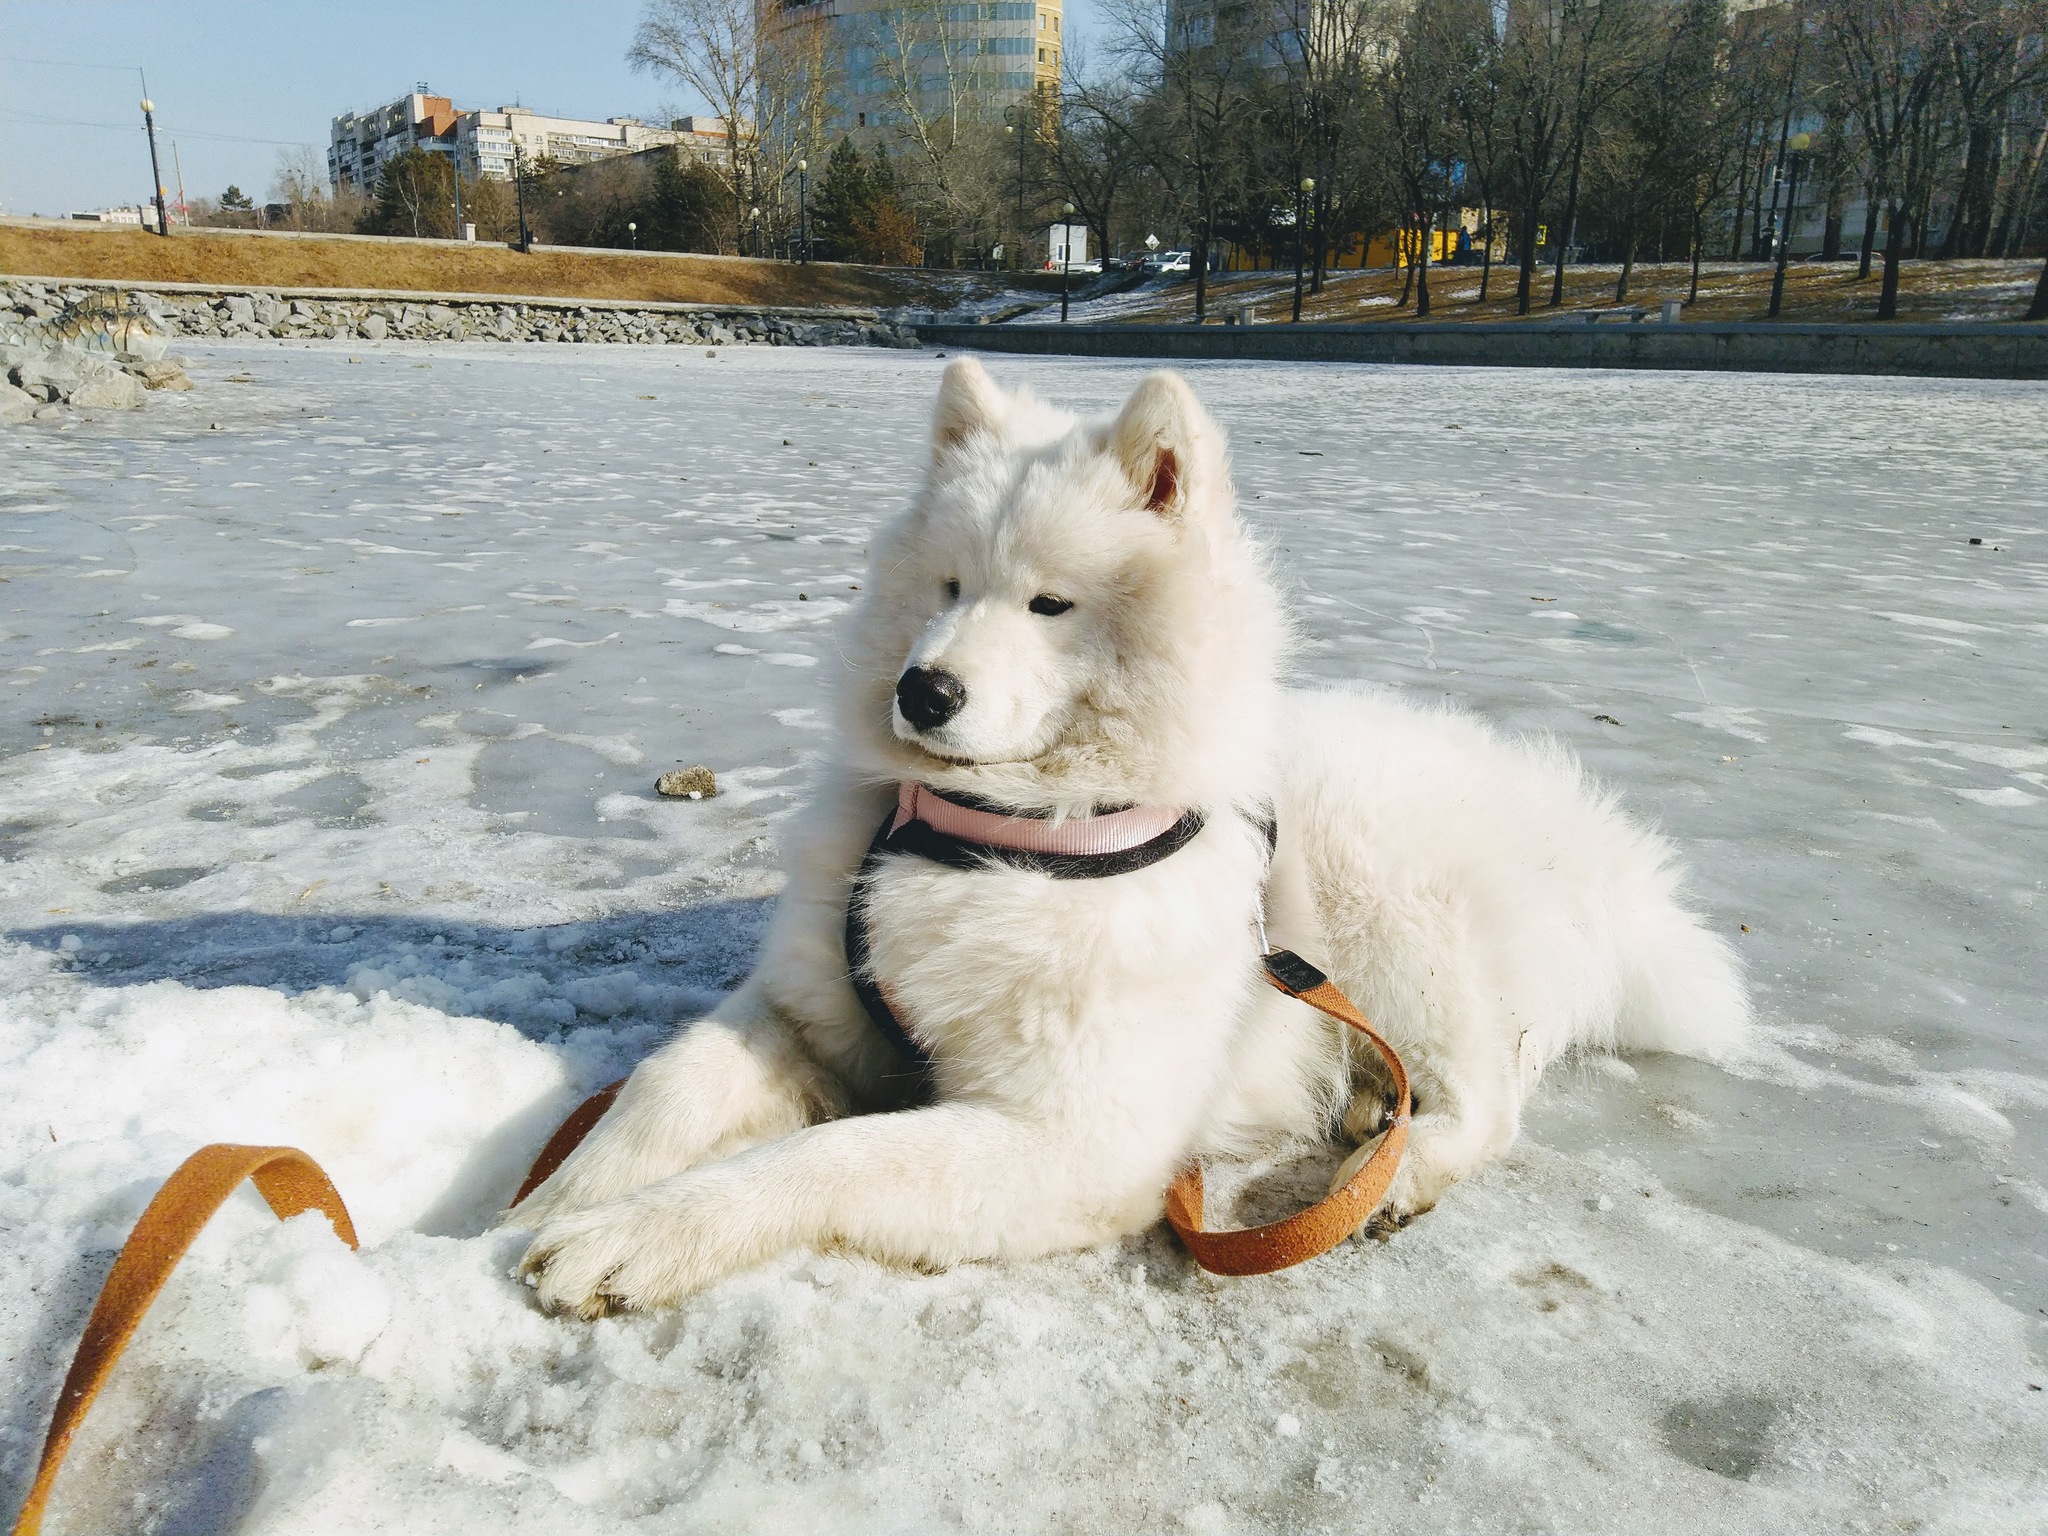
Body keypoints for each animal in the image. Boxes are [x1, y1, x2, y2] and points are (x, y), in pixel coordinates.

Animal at [512, 354, 1744, 1318]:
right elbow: (669, 1079)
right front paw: (559, 1191)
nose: (923, 690)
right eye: (947, 586)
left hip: (1398, 927)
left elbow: (828, 1154)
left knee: (1488, 1098)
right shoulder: (806, 1013)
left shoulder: (1074, 1136)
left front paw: (634, 1236)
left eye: (1049, 605)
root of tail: (1586, 844)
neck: (1000, 836)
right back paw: (1364, 1111)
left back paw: (1394, 1170)